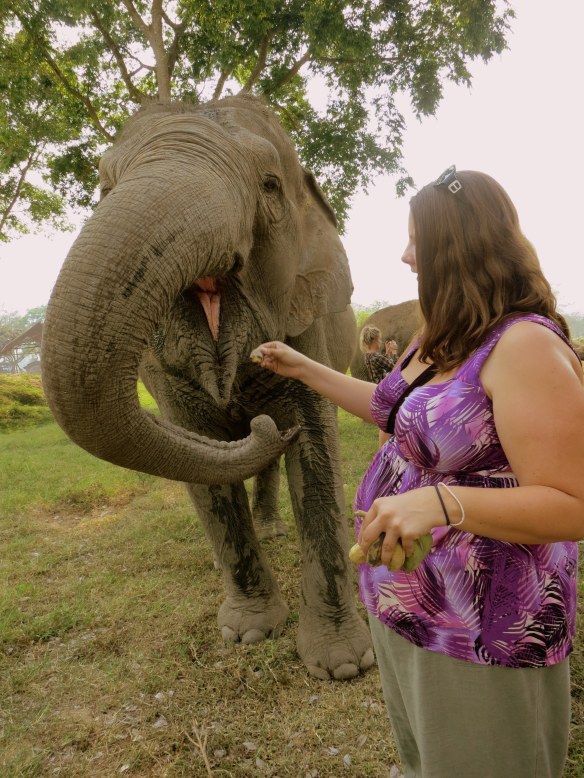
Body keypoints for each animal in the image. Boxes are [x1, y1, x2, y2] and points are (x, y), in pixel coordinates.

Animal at [42, 94, 374, 680]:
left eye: (270, 185)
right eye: (104, 189)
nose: (264, 427)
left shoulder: (307, 325)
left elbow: (315, 447)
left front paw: (342, 667)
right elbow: (198, 455)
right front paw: (247, 634)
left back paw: (272, 522)